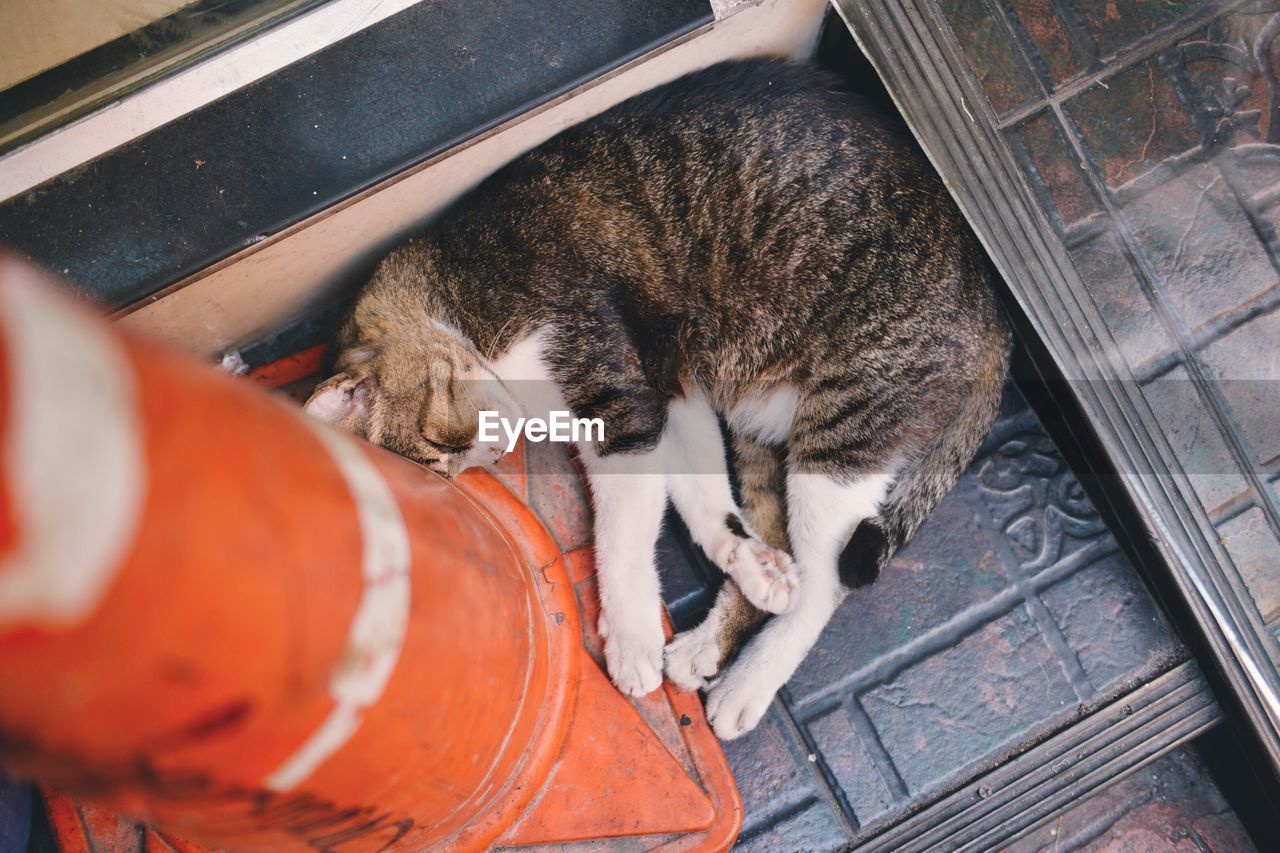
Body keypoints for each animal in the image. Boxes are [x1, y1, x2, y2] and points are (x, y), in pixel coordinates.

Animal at [302, 59, 1008, 737]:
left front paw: (632, 636)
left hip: (845, 427)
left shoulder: (620, 404)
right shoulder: (676, 393)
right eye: (453, 462)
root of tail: (991, 308)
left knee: (827, 584)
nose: (495, 453)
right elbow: (706, 502)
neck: (457, 287)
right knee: (780, 532)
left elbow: (624, 533)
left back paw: (747, 684)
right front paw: (747, 562)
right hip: (757, 416)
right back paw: (716, 636)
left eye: (440, 440)